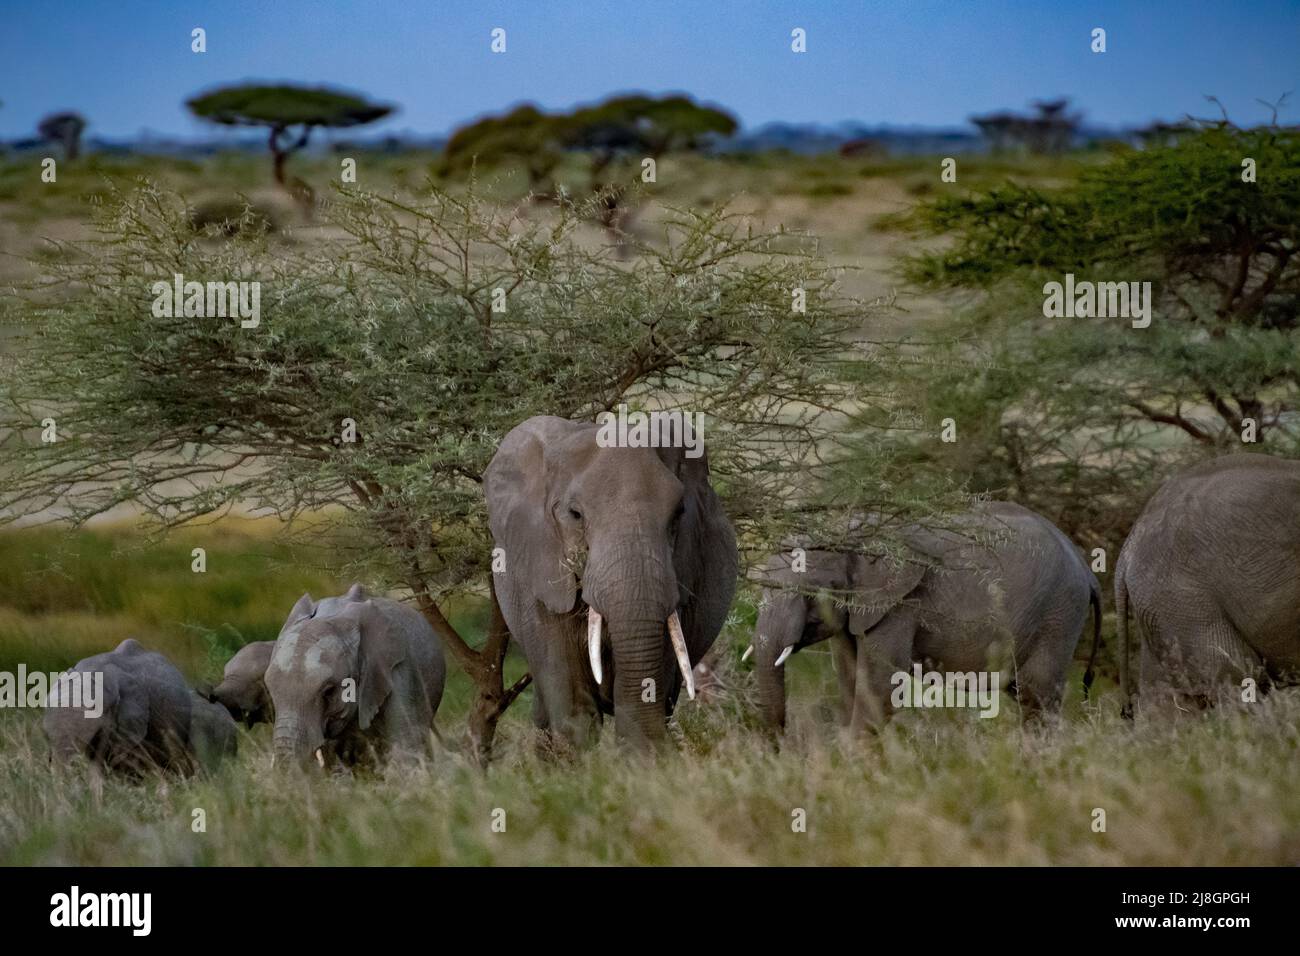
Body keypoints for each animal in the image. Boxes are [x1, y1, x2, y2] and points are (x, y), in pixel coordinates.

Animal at [754, 502, 1097, 733]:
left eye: (812, 592)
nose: (777, 749)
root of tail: (1087, 570)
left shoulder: (900, 605)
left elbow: (878, 689)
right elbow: (852, 683)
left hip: (1059, 612)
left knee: (1035, 695)